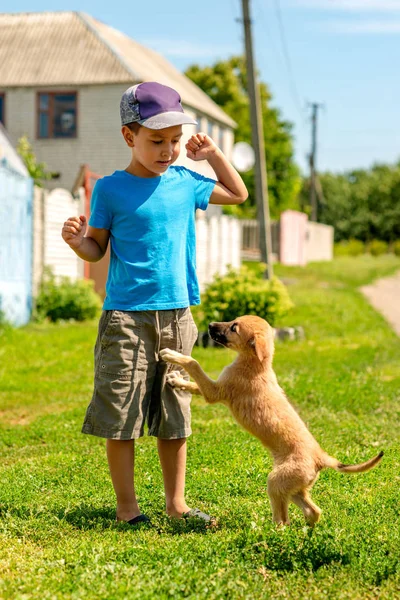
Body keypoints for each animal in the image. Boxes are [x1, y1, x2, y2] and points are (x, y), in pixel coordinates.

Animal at [160, 314, 384, 524]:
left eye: (234, 328)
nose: (210, 325)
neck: (256, 364)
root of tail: (321, 458)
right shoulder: (214, 388)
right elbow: (194, 384)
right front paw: (176, 380)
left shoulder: (215, 391)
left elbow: (194, 364)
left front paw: (172, 355)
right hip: (292, 487)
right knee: (313, 511)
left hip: (276, 482)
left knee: (283, 520)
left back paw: (270, 531)